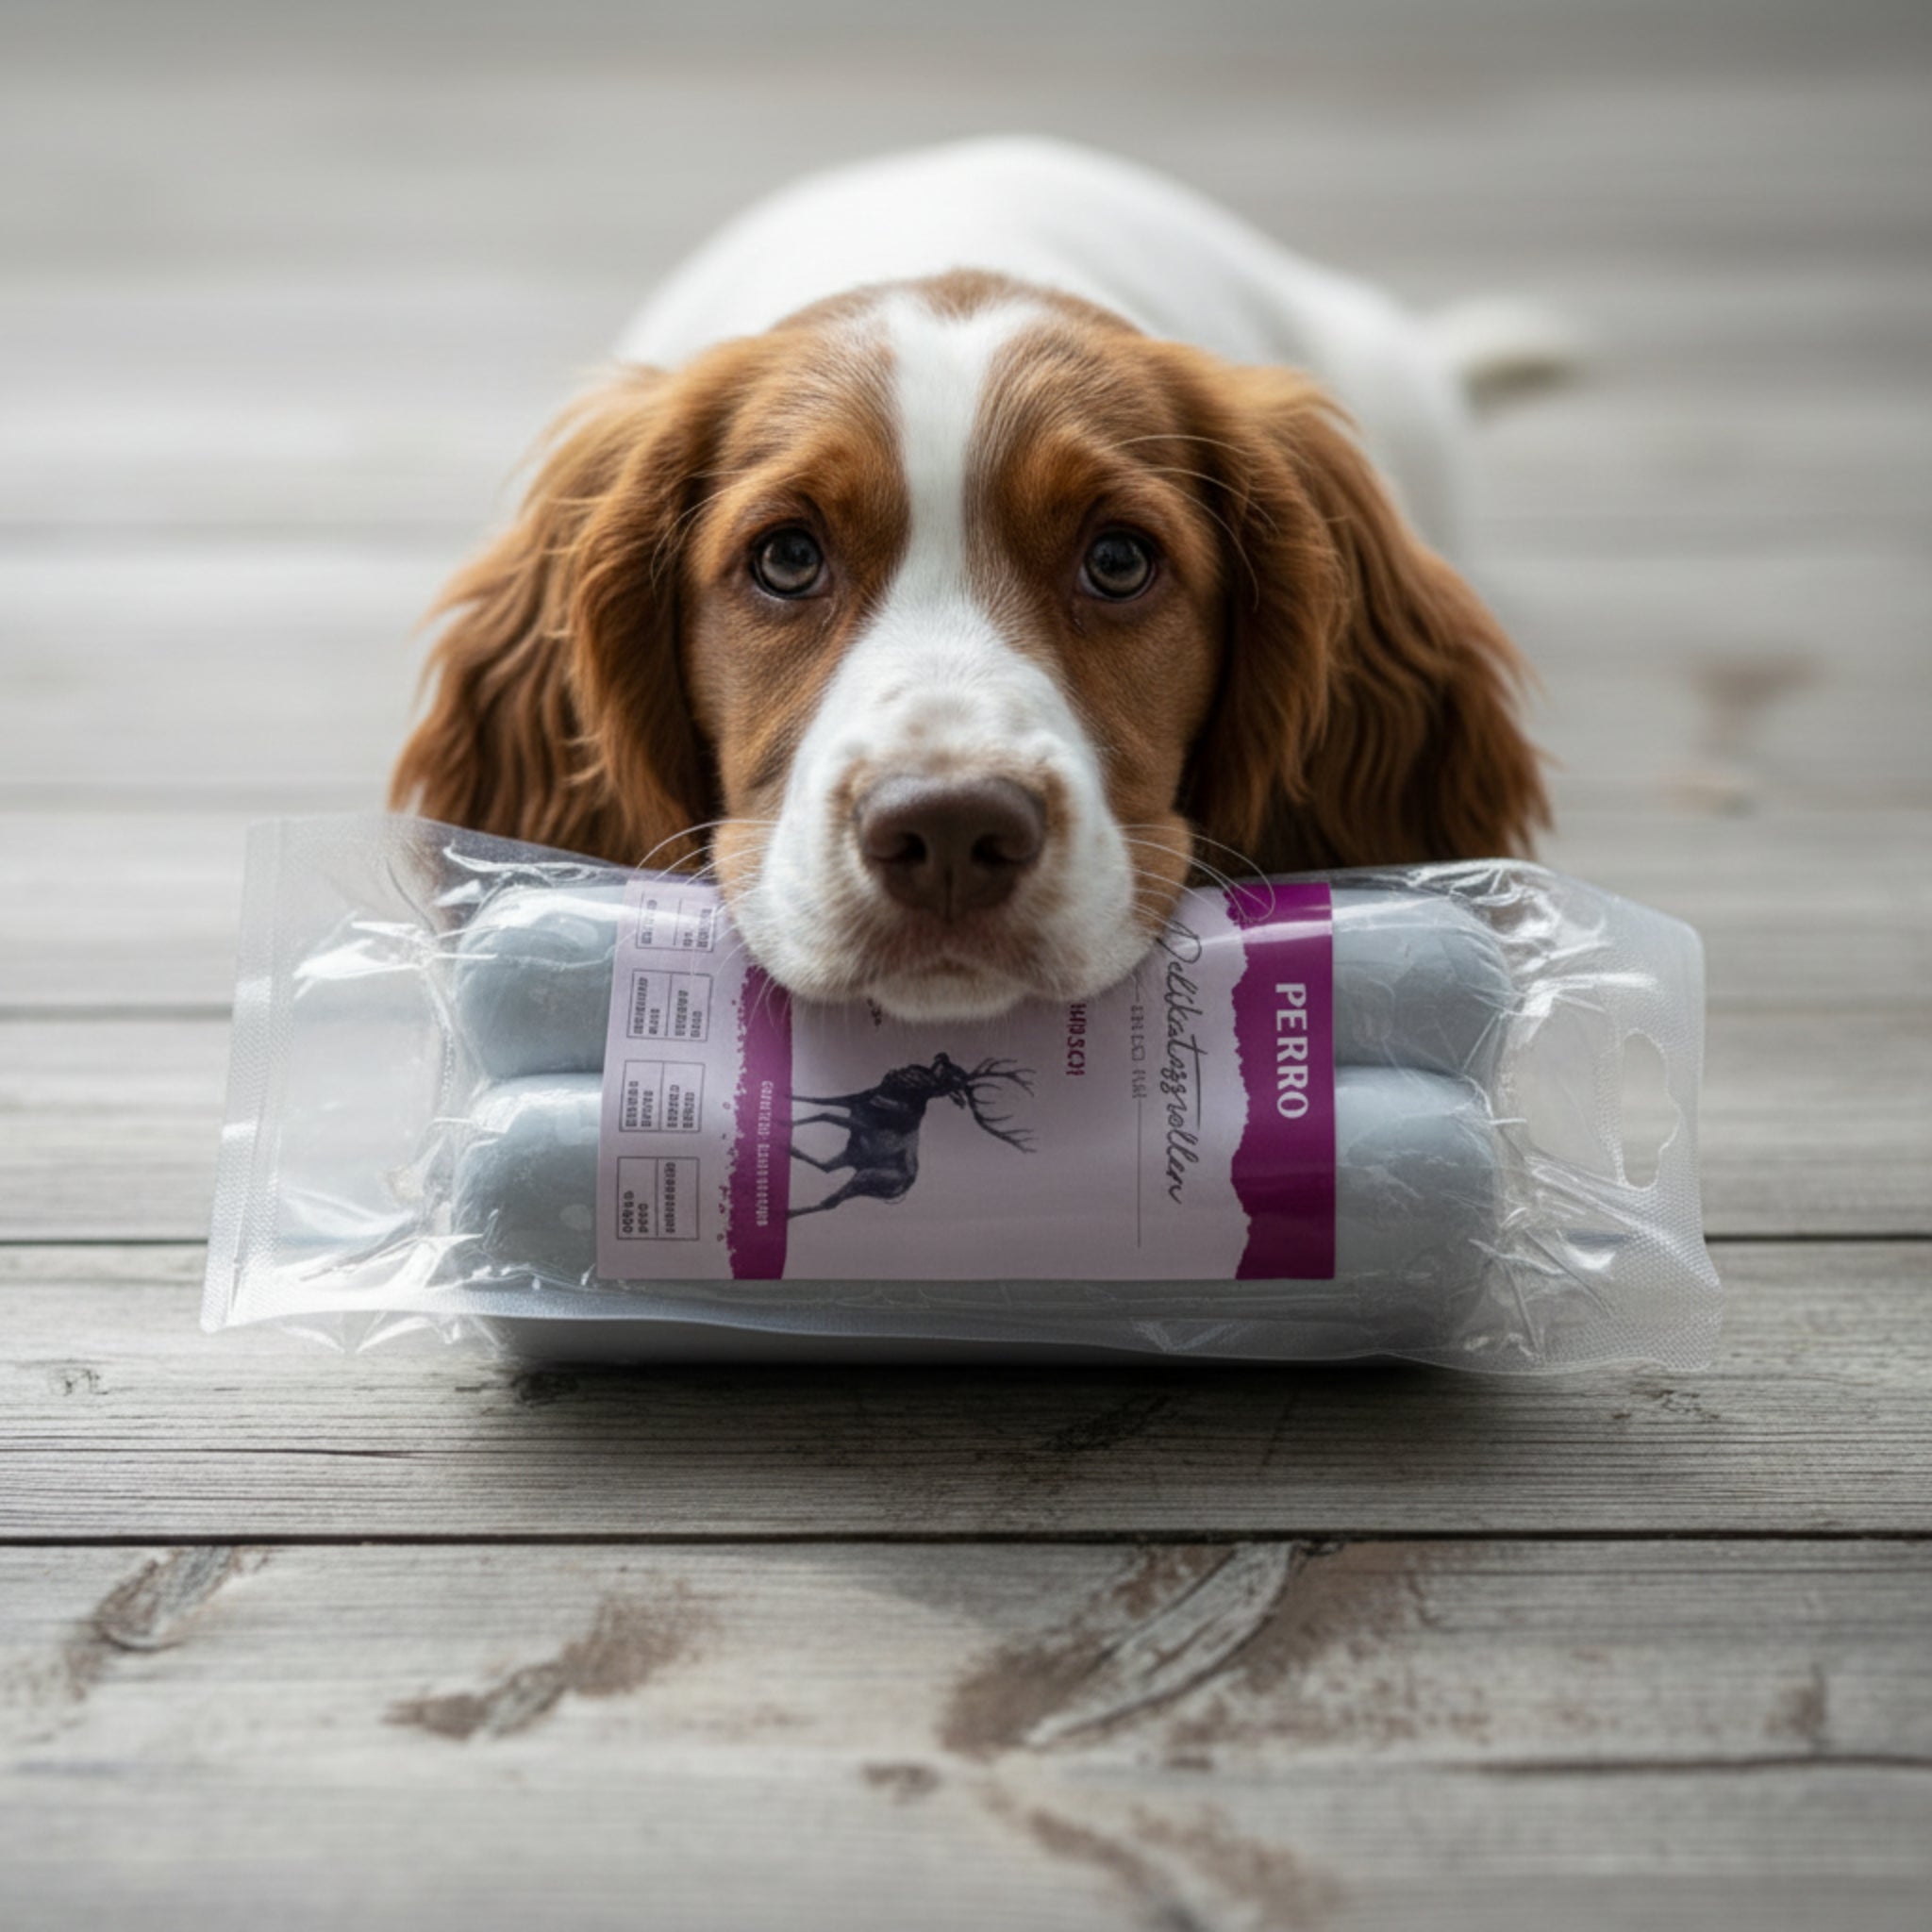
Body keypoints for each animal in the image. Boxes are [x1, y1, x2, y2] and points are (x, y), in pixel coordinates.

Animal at [786, 1054, 1036, 1218]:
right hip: (853, 1157)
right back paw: (792, 1152)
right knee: (827, 1168)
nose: (896, 1074)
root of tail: (904, 1186)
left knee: (831, 1199)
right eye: (948, 1073)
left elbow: (824, 1113)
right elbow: (818, 1101)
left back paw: (787, 1210)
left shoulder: (861, 1121)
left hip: (867, 1176)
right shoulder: (856, 1099)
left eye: (949, 1084)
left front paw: (786, 1122)